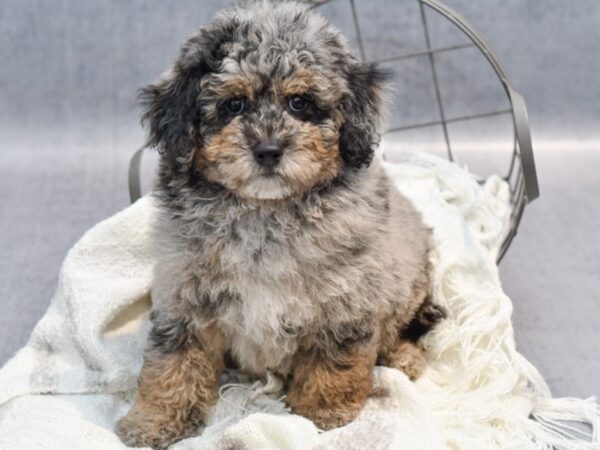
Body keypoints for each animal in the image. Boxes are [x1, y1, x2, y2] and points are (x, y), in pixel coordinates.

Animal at [118, 1, 446, 448]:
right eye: (234, 105)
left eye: (300, 103)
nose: (269, 150)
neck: (266, 213)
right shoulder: (185, 292)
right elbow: (172, 360)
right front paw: (153, 420)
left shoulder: (346, 300)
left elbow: (334, 361)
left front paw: (324, 415)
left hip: (410, 280)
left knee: (404, 327)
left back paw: (405, 357)